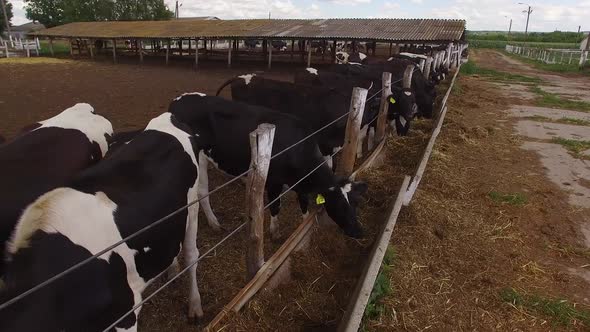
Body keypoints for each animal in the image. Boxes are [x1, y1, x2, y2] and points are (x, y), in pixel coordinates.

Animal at [169, 93, 368, 239]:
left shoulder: (300, 183)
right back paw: (214, 222)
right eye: (340, 205)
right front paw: (275, 232)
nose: (359, 232)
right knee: (202, 192)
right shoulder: (273, 181)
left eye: (356, 203)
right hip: (199, 160)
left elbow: (304, 204)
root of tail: (179, 100)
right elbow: (275, 206)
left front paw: (303, 226)